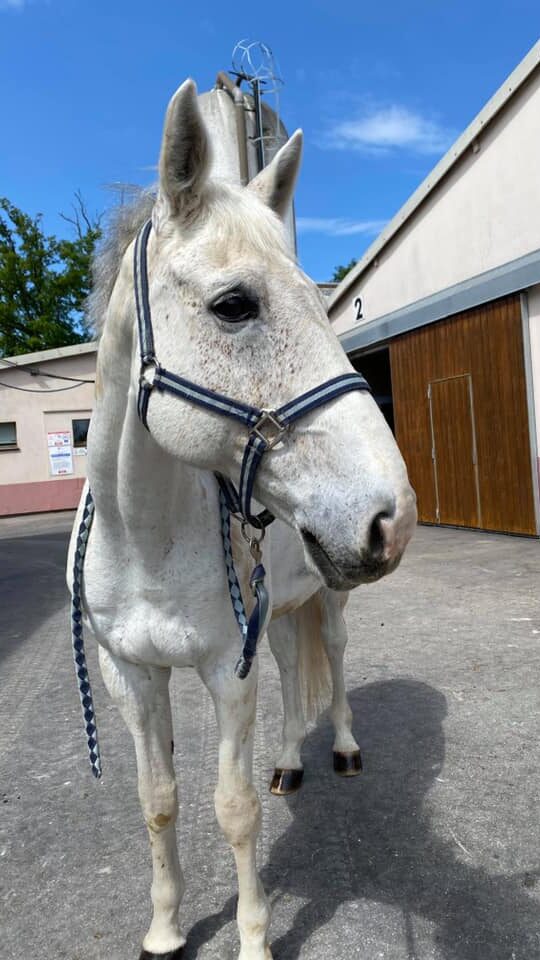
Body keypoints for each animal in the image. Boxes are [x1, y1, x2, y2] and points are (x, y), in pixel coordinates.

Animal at [68, 79, 418, 956]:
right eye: (234, 305)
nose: (392, 517)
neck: (145, 540)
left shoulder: (229, 668)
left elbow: (234, 810)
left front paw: (254, 939)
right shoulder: (131, 676)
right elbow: (158, 801)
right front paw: (164, 929)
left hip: (328, 600)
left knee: (331, 663)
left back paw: (342, 750)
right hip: (284, 604)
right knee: (295, 675)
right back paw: (290, 761)